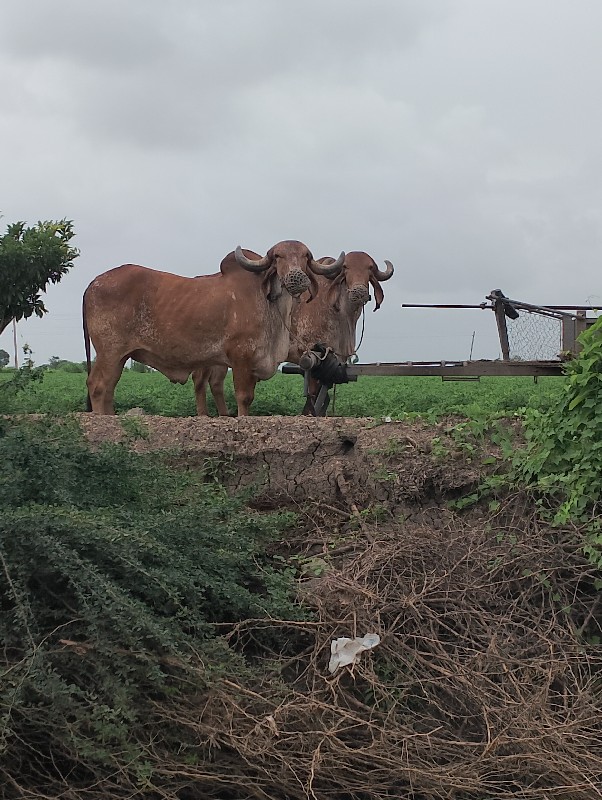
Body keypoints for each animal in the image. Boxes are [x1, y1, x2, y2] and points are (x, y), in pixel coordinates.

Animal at [82, 239, 342, 416]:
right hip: (109, 352)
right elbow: (243, 397)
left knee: (109, 388)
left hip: (119, 357)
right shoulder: (240, 358)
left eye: (306, 257)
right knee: (97, 386)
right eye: (278, 256)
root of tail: (94, 282)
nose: (297, 278)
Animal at [195, 250, 394, 416]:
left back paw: (223, 415)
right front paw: (309, 413)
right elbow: (313, 393)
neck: (341, 313)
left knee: (215, 383)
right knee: (201, 381)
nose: (359, 292)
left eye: (369, 268)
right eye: (345, 268)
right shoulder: (311, 356)